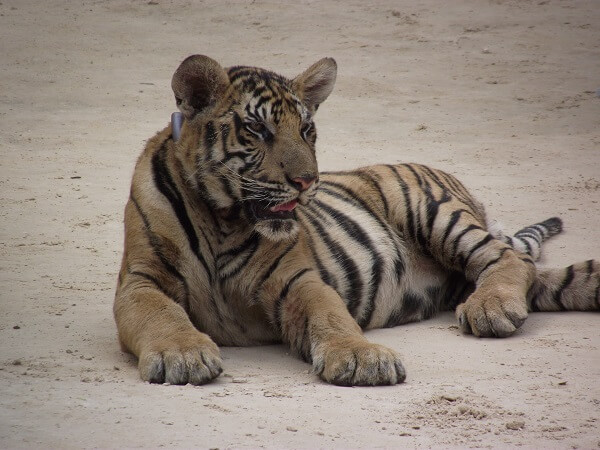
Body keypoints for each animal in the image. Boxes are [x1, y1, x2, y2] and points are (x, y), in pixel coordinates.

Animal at [113, 55, 600, 386]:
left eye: (306, 130)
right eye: (258, 130)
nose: (306, 181)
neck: (223, 219)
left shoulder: (298, 280)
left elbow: (330, 315)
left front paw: (361, 357)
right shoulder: (140, 281)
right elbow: (161, 313)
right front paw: (183, 354)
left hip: (435, 212)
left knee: (510, 259)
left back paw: (491, 308)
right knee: (543, 277)